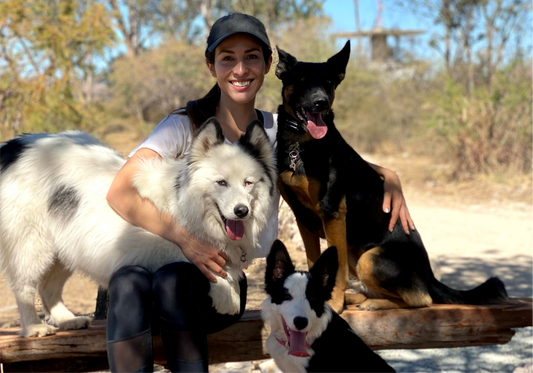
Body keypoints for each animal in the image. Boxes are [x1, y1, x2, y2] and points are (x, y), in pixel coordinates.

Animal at [0, 117, 274, 336]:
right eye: (221, 182)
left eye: (248, 183)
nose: (241, 211)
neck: (183, 205)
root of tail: (12, 148)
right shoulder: (154, 249)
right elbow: (203, 262)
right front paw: (225, 291)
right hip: (32, 245)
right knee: (24, 288)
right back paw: (33, 326)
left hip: (65, 247)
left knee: (48, 287)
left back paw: (66, 320)